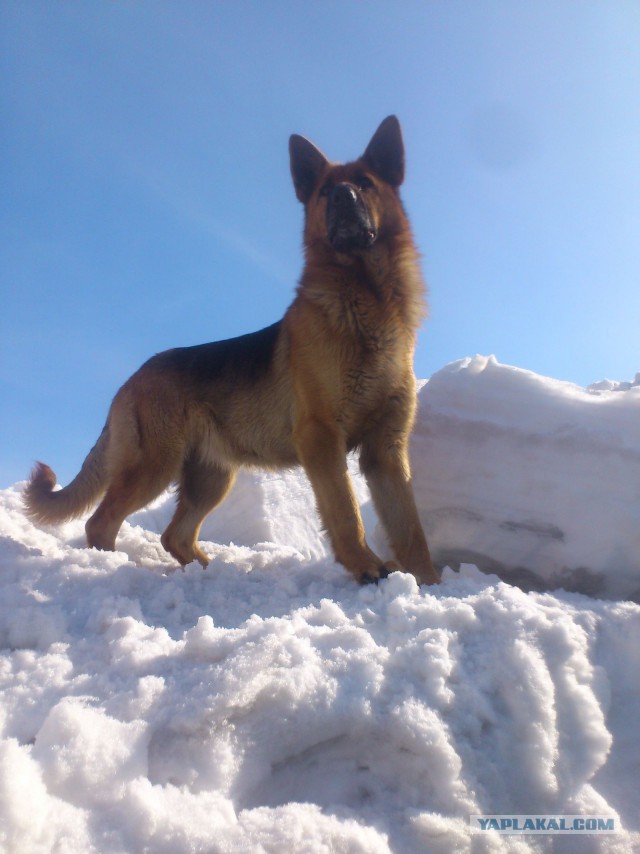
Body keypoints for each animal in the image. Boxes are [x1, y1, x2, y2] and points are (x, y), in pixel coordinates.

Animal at [22, 117, 438, 588]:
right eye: (325, 191)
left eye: (365, 183)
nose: (343, 197)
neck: (366, 301)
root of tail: (133, 378)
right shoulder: (321, 439)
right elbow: (347, 513)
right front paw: (367, 567)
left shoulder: (386, 451)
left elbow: (411, 526)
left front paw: (429, 583)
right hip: (154, 466)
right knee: (101, 522)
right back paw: (114, 569)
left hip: (211, 478)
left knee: (174, 535)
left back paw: (208, 571)